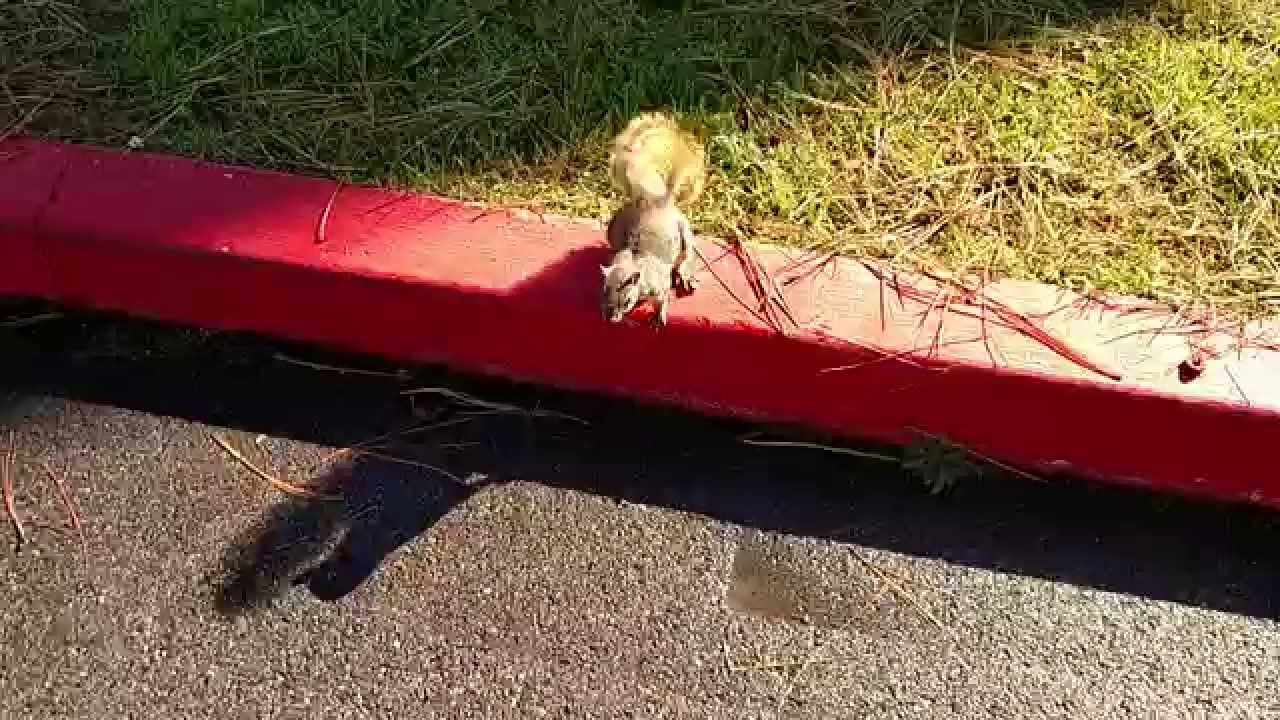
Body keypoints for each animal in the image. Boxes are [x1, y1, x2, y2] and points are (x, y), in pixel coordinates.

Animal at [600, 112, 707, 326]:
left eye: (627, 301)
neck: (634, 264)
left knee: (685, 256)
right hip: (614, 227)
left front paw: (659, 316)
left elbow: (663, 298)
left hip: (684, 233)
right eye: (604, 291)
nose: (611, 319)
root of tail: (659, 199)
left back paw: (686, 275)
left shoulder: (659, 286)